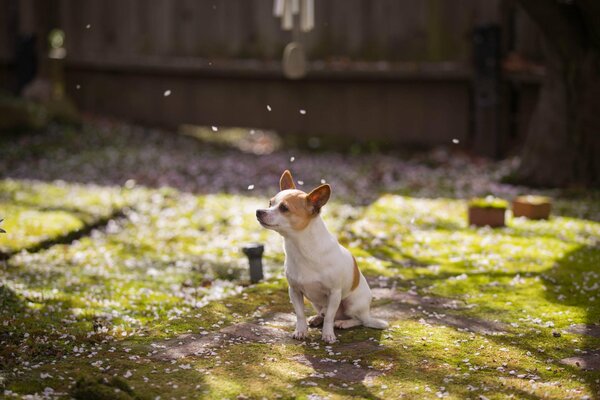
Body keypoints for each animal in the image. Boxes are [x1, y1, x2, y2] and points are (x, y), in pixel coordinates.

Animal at [254, 170, 386, 342]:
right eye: (270, 203)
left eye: (284, 208)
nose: (258, 211)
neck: (301, 248)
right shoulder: (294, 291)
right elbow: (300, 314)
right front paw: (301, 331)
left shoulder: (334, 293)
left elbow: (330, 317)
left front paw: (328, 334)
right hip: (316, 303)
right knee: (325, 312)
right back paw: (317, 318)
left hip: (352, 303)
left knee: (357, 320)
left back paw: (343, 323)